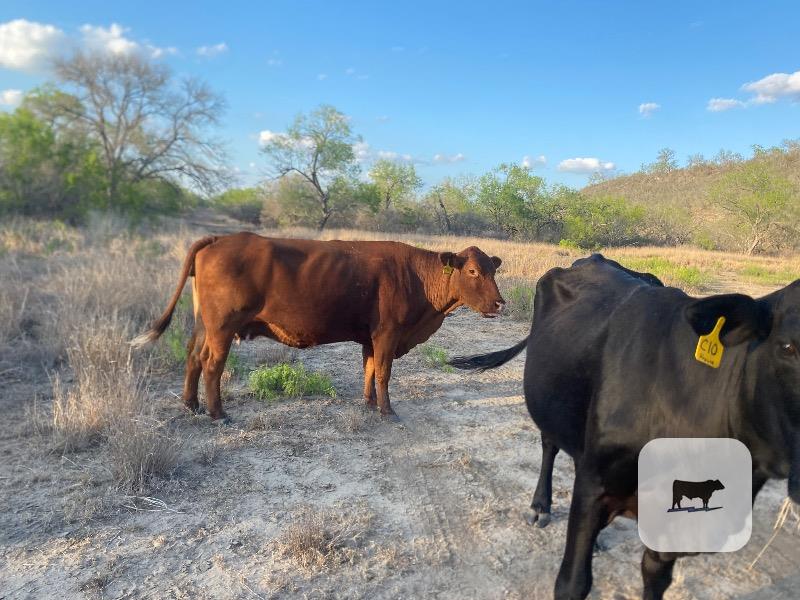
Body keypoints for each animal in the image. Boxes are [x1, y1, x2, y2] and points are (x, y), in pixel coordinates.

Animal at [133, 232, 505, 421]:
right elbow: (383, 373)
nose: (500, 303)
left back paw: (190, 404)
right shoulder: (388, 333)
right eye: (473, 271)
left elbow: (369, 369)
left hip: (203, 325)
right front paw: (387, 411)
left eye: (493, 270)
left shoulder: (371, 336)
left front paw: (369, 403)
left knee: (193, 357)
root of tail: (219, 238)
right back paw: (217, 412)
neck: (416, 277)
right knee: (212, 365)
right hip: (222, 327)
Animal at [450, 253, 800, 600]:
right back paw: (541, 506)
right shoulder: (594, 486)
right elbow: (572, 583)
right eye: (787, 347)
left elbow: (654, 578)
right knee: (549, 445)